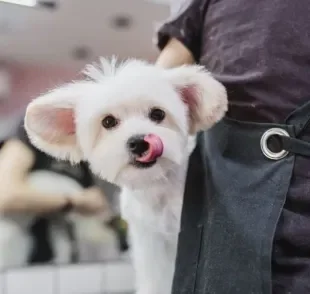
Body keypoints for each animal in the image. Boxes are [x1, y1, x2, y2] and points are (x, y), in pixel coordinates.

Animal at [24, 58, 228, 294]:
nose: (139, 142)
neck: (158, 190)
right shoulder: (149, 241)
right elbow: (155, 278)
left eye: (157, 114)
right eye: (108, 122)